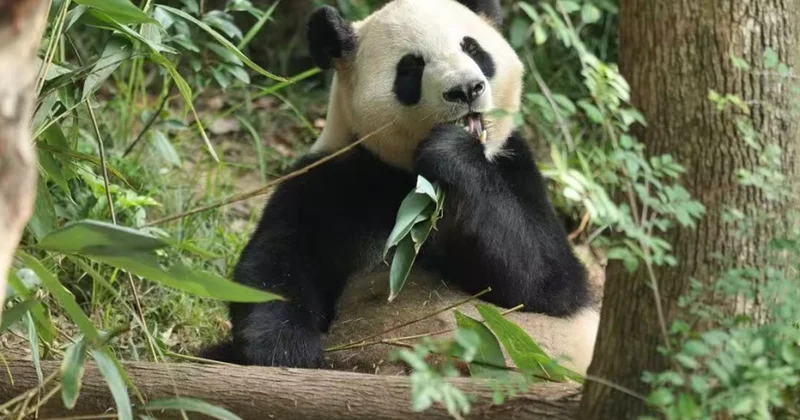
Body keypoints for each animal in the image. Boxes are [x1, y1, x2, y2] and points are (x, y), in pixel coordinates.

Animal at [202, 0, 599, 371]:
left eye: (472, 49)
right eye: (411, 67)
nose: (466, 89)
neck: (411, 178)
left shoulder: (513, 164)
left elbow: (548, 282)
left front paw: (451, 151)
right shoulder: (332, 176)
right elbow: (275, 267)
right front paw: (288, 353)